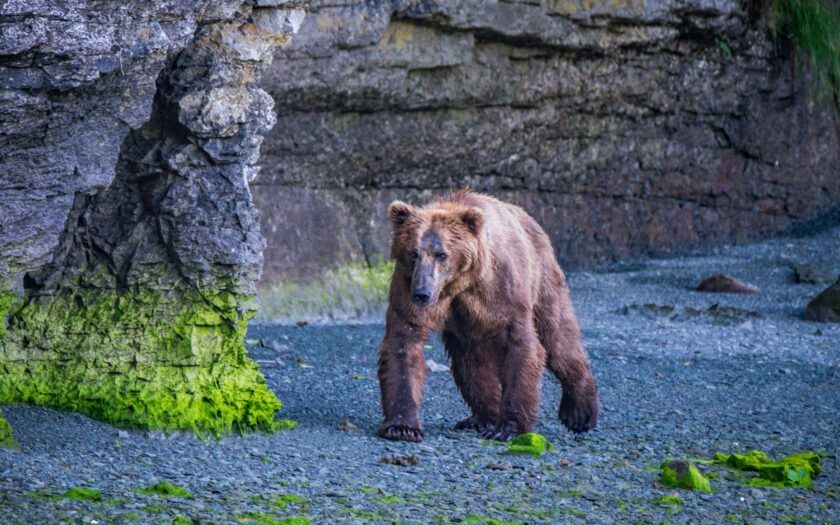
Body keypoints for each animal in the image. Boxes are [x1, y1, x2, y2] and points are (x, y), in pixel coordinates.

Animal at [378, 189, 600, 442]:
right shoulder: (408, 286)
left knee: (558, 339)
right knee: (470, 362)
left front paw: (508, 429)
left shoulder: (501, 291)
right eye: (414, 253)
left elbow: (521, 346)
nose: (422, 293)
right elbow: (404, 343)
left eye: (441, 254)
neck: (458, 283)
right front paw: (402, 427)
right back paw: (483, 418)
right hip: (467, 328)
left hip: (543, 279)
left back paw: (579, 413)